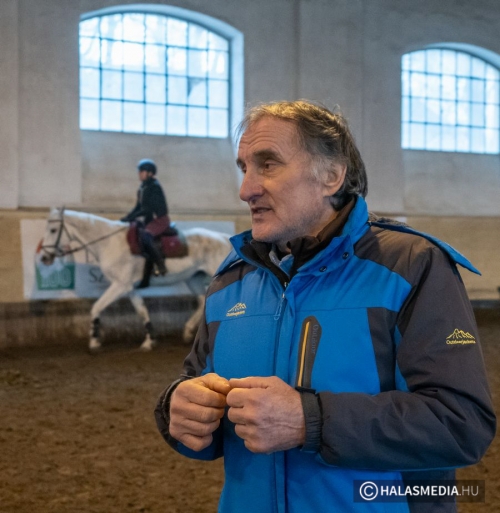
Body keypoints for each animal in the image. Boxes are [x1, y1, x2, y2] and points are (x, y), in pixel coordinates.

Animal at [39, 207, 232, 352]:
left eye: (53, 230)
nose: (45, 258)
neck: (109, 244)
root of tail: (224, 239)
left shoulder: (120, 285)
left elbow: (97, 307)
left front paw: (94, 341)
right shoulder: (130, 287)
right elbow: (141, 310)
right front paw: (149, 341)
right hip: (193, 278)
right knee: (202, 302)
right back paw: (187, 332)